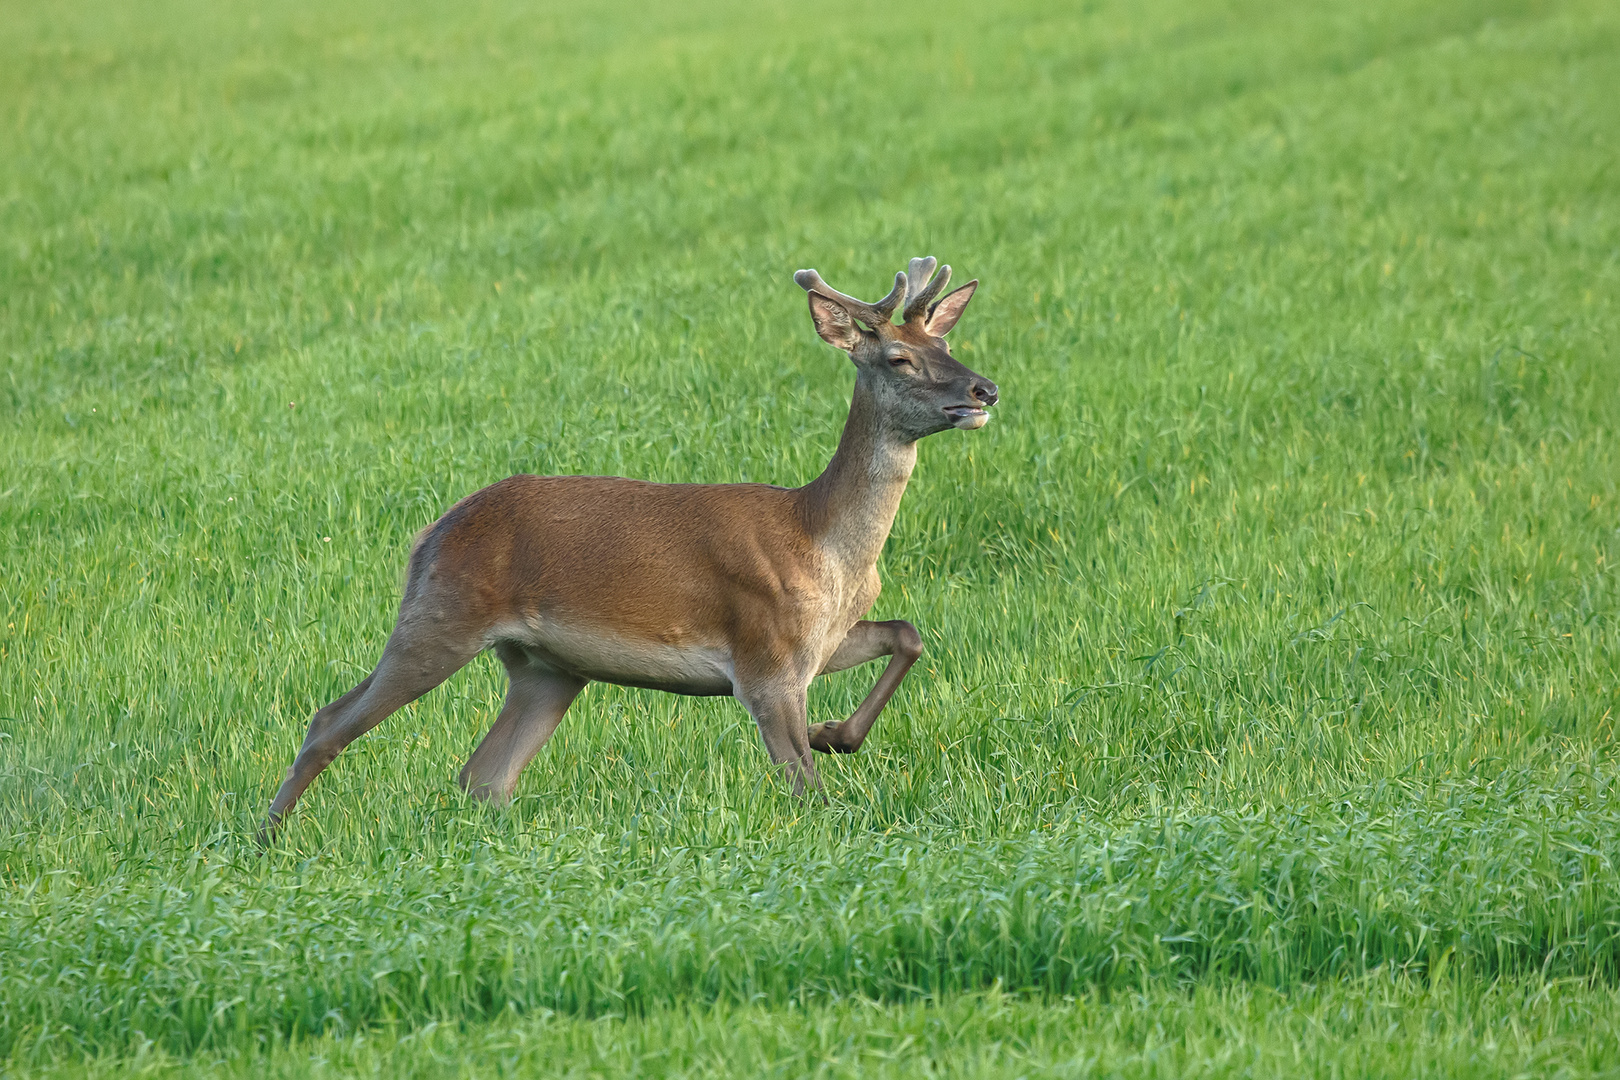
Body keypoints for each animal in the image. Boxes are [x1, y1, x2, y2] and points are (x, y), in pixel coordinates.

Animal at [259, 257, 991, 841]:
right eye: (898, 358)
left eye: (947, 340)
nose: (984, 389)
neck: (825, 544)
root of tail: (428, 535)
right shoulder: (766, 656)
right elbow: (806, 788)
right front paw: (825, 751)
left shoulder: (819, 641)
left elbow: (907, 632)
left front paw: (834, 734)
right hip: (441, 618)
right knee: (329, 721)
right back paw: (265, 839)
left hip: (545, 669)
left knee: (484, 775)